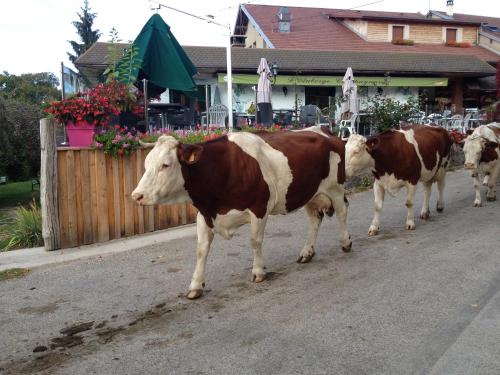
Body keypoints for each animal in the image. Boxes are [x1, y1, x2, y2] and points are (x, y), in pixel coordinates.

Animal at [133, 129, 352, 300]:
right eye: (146, 164)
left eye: (166, 164)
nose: (137, 195)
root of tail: (326, 132)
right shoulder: (204, 214)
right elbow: (201, 249)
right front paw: (195, 286)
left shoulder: (259, 208)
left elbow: (255, 241)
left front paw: (258, 272)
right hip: (309, 192)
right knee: (315, 218)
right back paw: (307, 253)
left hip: (335, 187)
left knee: (342, 211)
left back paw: (345, 242)